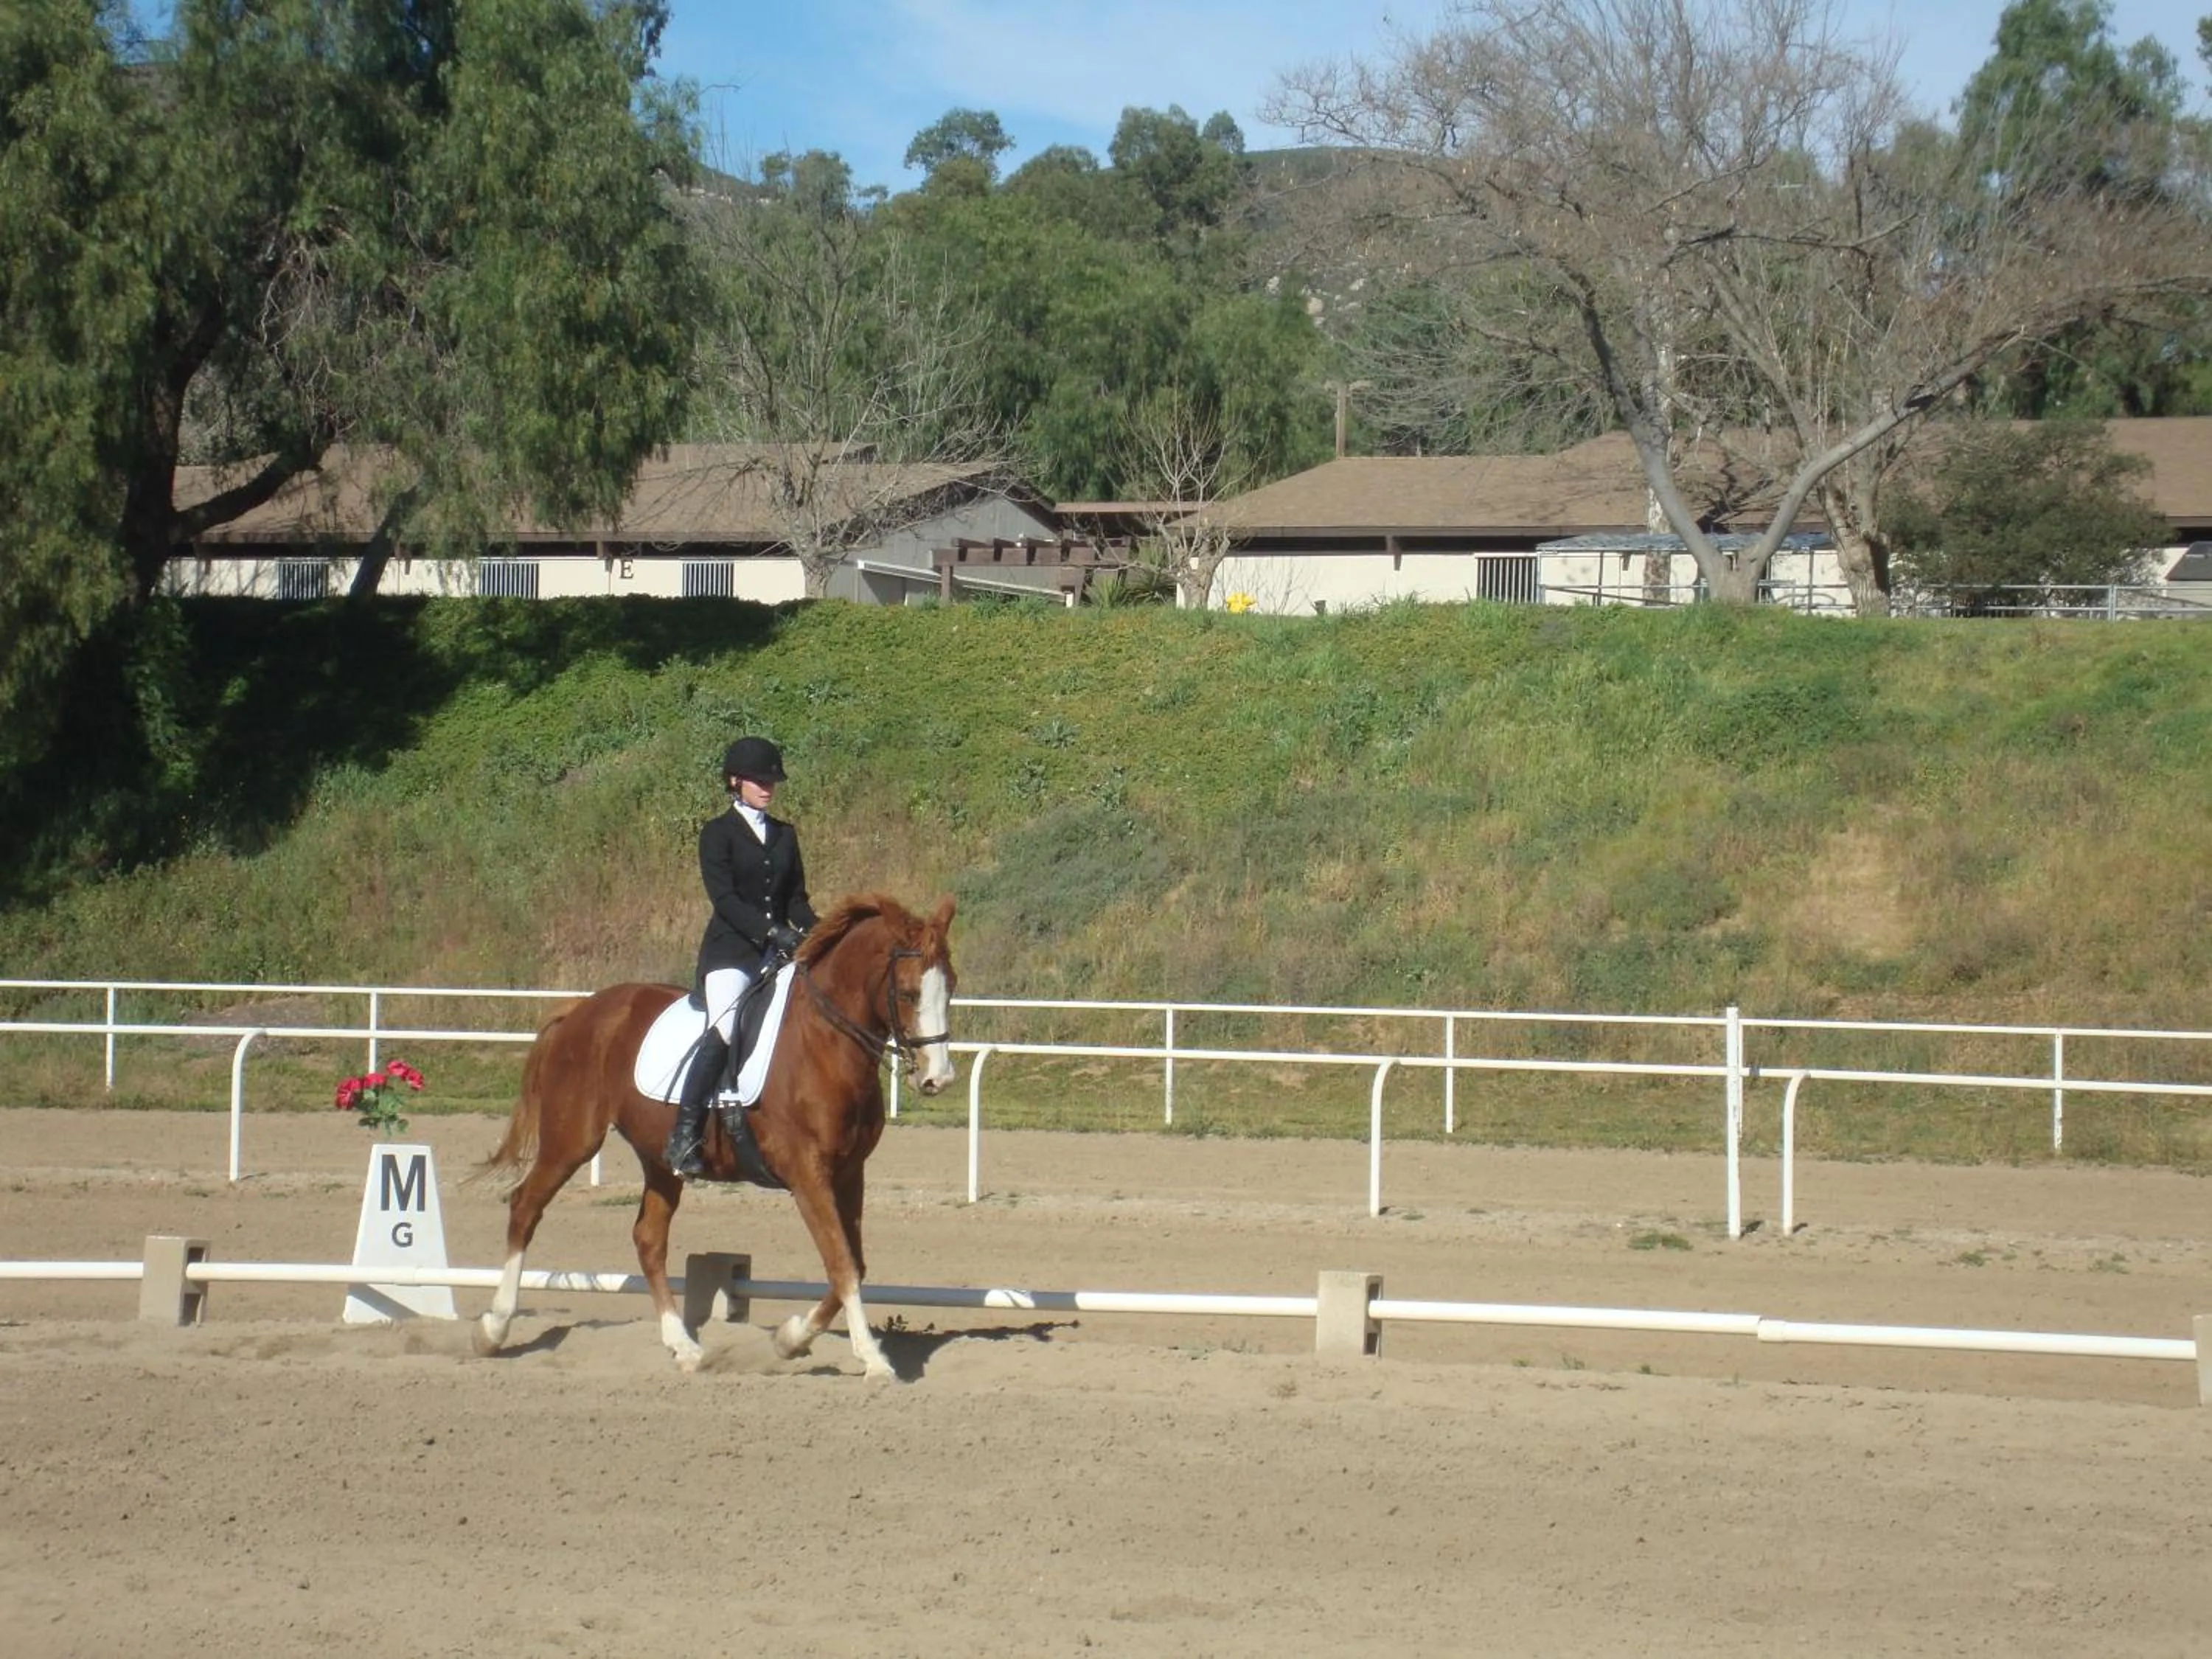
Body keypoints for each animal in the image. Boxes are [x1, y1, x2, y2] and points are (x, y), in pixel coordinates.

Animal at [470, 892, 957, 1377]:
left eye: (950, 987)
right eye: (909, 993)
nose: (939, 1079)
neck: (825, 1044)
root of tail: (583, 1008)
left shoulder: (849, 1173)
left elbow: (854, 1263)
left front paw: (790, 1339)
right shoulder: (808, 1175)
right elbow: (841, 1263)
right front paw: (872, 1358)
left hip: (659, 1159)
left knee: (648, 1239)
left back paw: (685, 1347)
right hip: (572, 1140)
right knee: (526, 1207)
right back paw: (493, 1330)